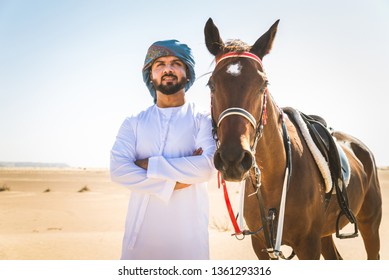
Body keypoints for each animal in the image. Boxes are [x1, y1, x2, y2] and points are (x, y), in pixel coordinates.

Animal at [205, 18, 380, 260]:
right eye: (211, 84)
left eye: (263, 84)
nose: (233, 158)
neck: (274, 181)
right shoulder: (260, 246)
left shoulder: (308, 245)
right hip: (326, 235)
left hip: (369, 224)